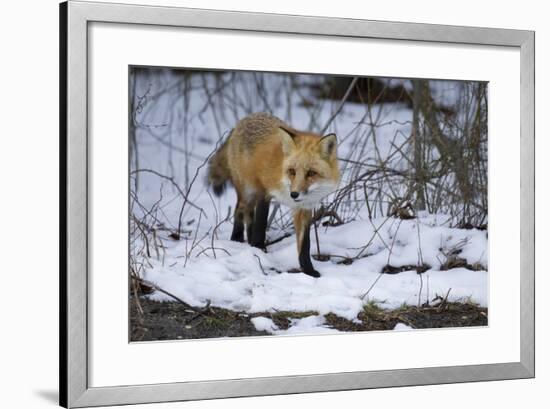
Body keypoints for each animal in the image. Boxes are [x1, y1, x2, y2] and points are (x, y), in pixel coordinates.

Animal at [207, 112, 340, 278]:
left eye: (311, 173)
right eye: (292, 171)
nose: (294, 194)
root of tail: (244, 120)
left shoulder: (304, 208)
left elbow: (305, 245)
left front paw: (308, 270)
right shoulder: (264, 192)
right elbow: (261, 224)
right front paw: (258, 250)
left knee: (249, 217)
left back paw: (248, 240)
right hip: (247, 190)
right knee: (240, 210)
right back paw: (237, 239)